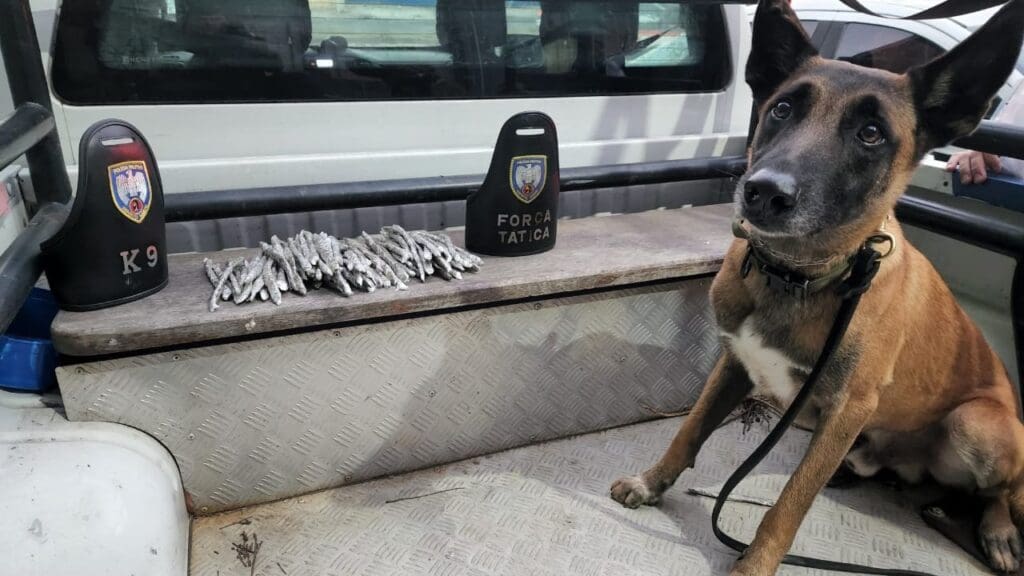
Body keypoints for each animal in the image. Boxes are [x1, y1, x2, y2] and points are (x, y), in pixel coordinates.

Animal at [610, 0, 1024, 569]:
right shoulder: (734, 365)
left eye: (871, 133)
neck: (796, 277)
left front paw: (754, 564)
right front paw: (651, 484)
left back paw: (999, 530)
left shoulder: (845, 411)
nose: (763, 193)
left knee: (1003, 490)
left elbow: (789, 504)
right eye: (782, 110)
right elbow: (689, 430)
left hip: (977, 425)